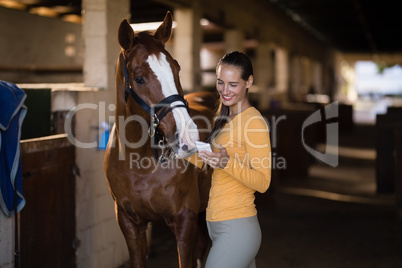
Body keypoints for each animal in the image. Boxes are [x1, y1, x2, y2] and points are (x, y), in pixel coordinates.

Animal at [103, 11, 217, 268]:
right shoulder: (129, 223)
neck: (140, 164)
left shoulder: (184, 220)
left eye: (177, 68)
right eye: (139, 78)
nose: (188, 135)